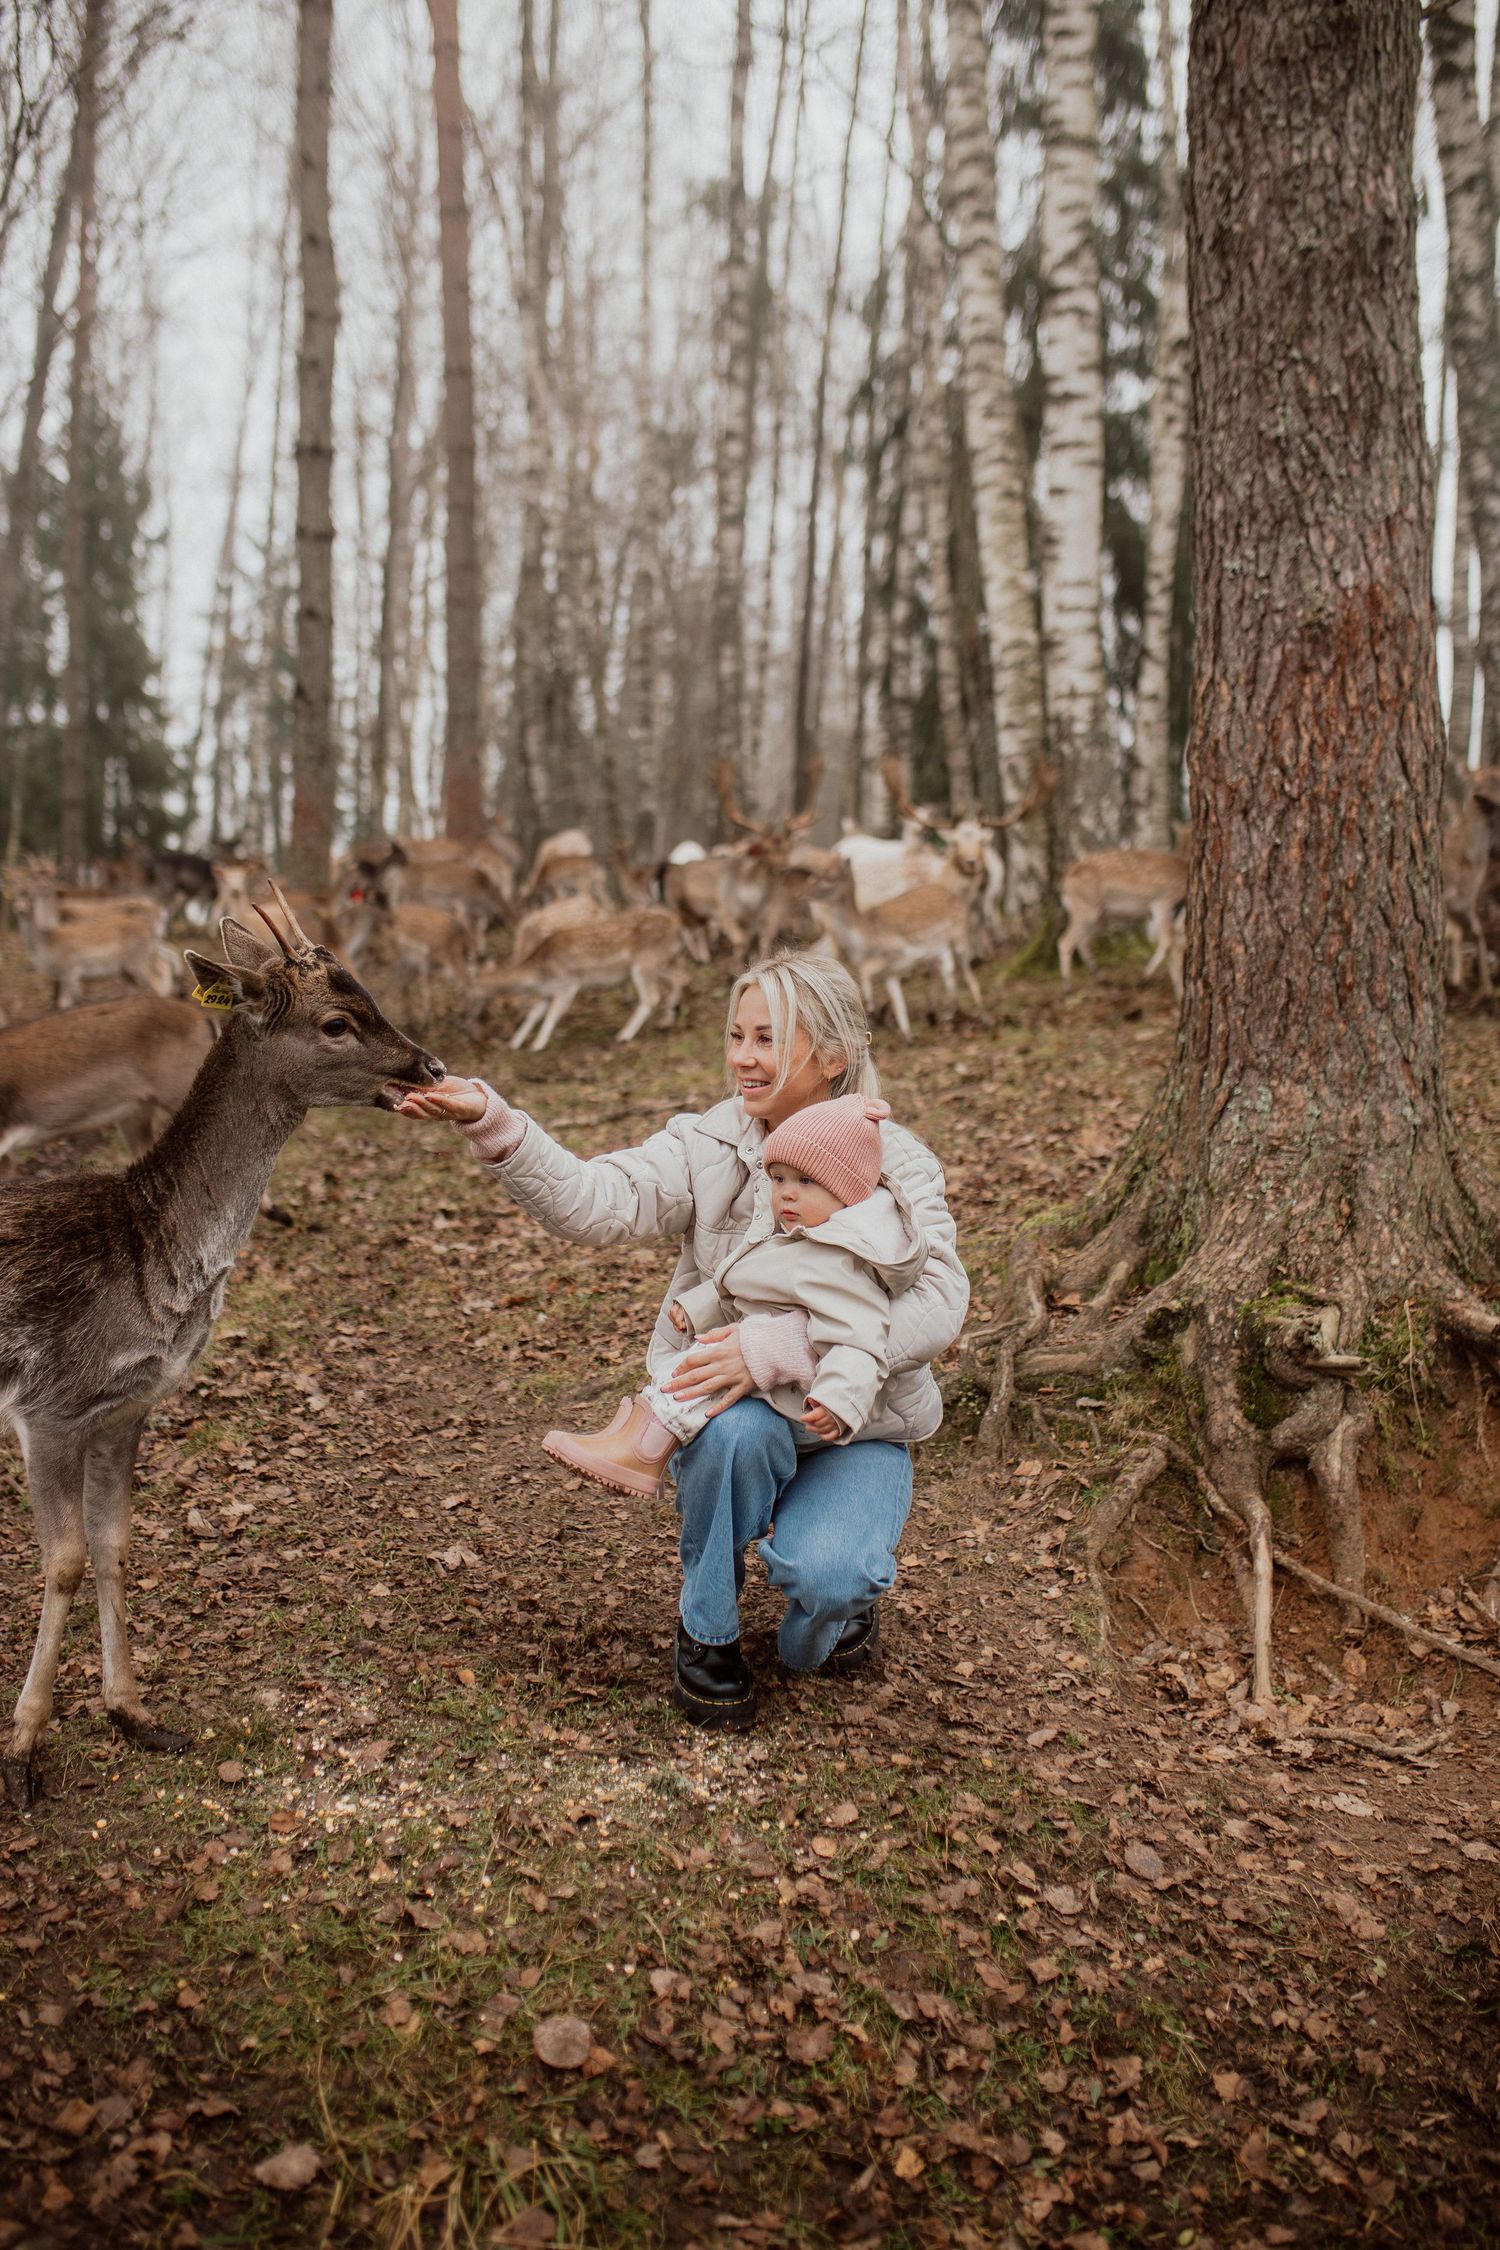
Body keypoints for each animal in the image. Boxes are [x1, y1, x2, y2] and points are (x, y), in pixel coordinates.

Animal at [481, 905, 686, 1050]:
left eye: (510, 1009)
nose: (502, 1033)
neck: (538, 971)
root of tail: (677, 925)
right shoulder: (547, 992)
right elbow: (534, 1013)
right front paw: (514, 1043)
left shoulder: (569, 984)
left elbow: (553, 1012)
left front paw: (537, 1045)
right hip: (661, 962)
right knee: (680, 977)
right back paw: (666, 1021)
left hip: (644, 962)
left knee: (652, 997)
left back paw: (624, 1035)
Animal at [1057, 846, 1188, 1000]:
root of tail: (1064, 884)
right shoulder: (1163, 902)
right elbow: (1167, 943)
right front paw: (1143, 979)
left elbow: (1170, 947)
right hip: (1085, 910)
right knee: (1065, 941)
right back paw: (1068, 989)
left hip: (1100, 917)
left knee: (1083, 942)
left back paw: (1103, 980)